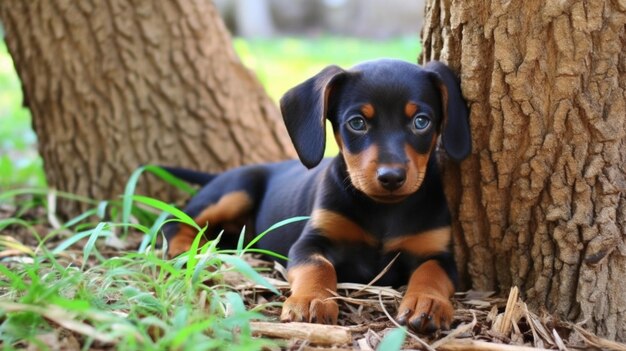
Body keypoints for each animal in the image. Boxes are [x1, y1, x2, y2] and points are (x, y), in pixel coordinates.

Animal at [165, 59, 468, 334]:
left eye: (421, 121)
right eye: (357, 123)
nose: (391, 177)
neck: (384, 210)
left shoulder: (440, 254)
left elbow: (431, 272)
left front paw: (426, 303)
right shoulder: (310, 243)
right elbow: (318, 267)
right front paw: (311, 300)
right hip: (236, 190)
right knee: (174, 220)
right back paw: (185, 250)